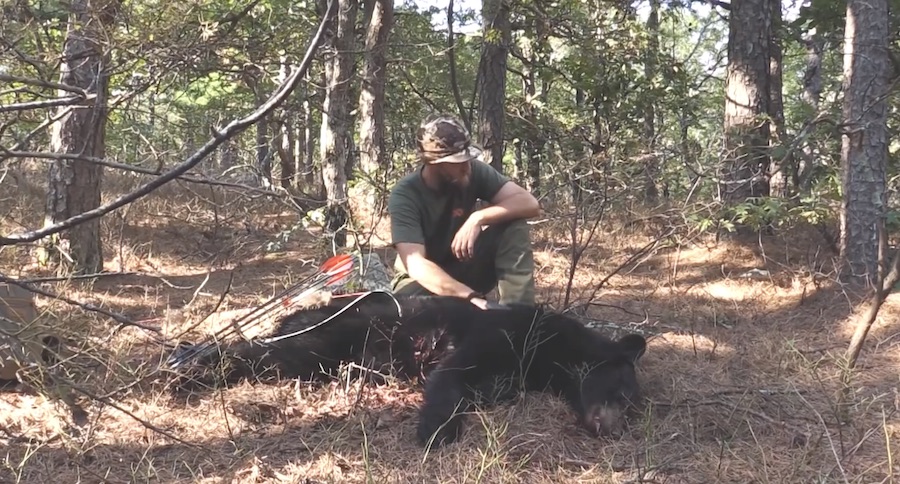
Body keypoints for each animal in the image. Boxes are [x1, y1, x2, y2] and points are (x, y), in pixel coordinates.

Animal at [416, 304, 648, 448]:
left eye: (632, 414)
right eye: (623, 395)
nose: (615, 432)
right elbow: (450, 373)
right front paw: (438, 430)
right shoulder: (497, 335)